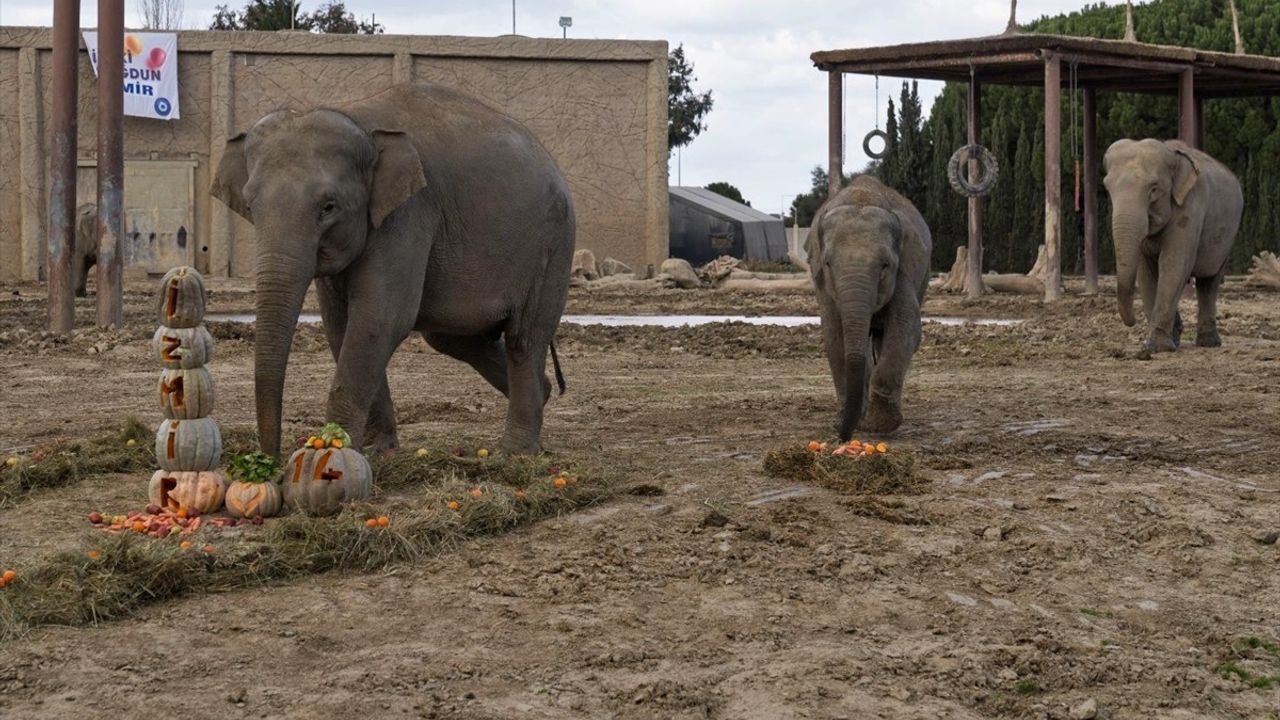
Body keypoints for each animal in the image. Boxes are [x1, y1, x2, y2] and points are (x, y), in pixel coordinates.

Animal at [212, 81, 573, 456]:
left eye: (328, 207)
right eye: (250, 205)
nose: (269, 459)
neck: (356, 118)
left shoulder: (409, 213)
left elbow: (379, 319)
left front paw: (334, 449)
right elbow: (341, 325)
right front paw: (376, 450)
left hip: (553, 245)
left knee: (524, 338)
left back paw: (515, 451)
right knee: (451, 338)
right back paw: (545, 393)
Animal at [808, 174, 931, 438]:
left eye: (885, 265)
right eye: (828, 263)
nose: (842, 436)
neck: (861, 198)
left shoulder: (904, 269)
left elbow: (906, 327)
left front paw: (878, 425)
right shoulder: (822, 282)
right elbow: (833, 333)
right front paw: (850, 420)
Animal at [1100, 137, 1239, 353]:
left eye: (1154, 188)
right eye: (1107, 188)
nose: (1132, 322)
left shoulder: (1190, 208)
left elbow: (1174, 264)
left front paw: (1157, 347)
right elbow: (1146, 273)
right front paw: (1166, 341)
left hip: (1227, 239)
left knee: (1209, 281)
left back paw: (1209, 343)